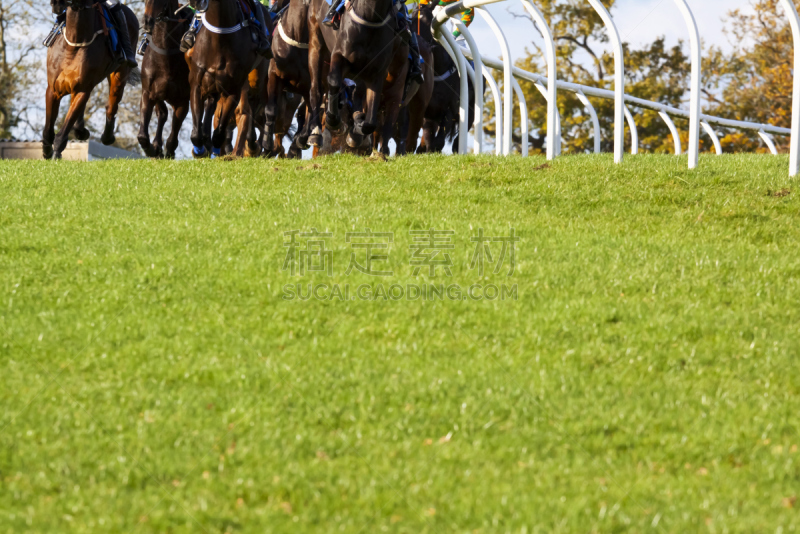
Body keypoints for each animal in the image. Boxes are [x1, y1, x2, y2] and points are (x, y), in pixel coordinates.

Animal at [43, 0, 139, 159]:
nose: (57, 4)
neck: (75, 41)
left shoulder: (82, 90)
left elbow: (63, 132)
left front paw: (56, 154)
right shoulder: (54, 89)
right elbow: (48, 130)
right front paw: (46, 150)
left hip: (120, 74)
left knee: (111, 106)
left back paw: (107, 137)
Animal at [138, 0, 192, 159]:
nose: (147, 22)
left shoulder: (183, 100)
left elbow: (174, 132)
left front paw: (168, 150)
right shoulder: (148, 93)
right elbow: (142, 135)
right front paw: (151, 148)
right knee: (162, 114)